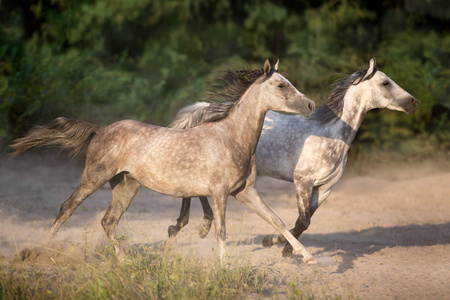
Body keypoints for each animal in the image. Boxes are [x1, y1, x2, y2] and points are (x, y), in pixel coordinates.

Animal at [11, 60, 320, 262]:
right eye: (281, 84)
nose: (311, 105)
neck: (230, 137)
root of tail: (101, 129)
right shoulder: (219, 193)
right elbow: (221, 230)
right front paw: (223, 266)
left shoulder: (244, 192)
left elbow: (276, 220)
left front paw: (307, 257)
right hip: (95, 176)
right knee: (67, 208)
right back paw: (44, 251)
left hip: (126, 185)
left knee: (108, 221)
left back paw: (124, 262)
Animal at [168, 58, 418, 258]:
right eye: (385, 82)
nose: (414, 103)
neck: (331, 135)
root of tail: (205, 108)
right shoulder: (302, 181)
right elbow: (303, 220)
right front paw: (277, 244)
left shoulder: (324, 188)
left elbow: (302, 222)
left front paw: (281, 246)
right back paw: (193, 226)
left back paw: (183, 226)